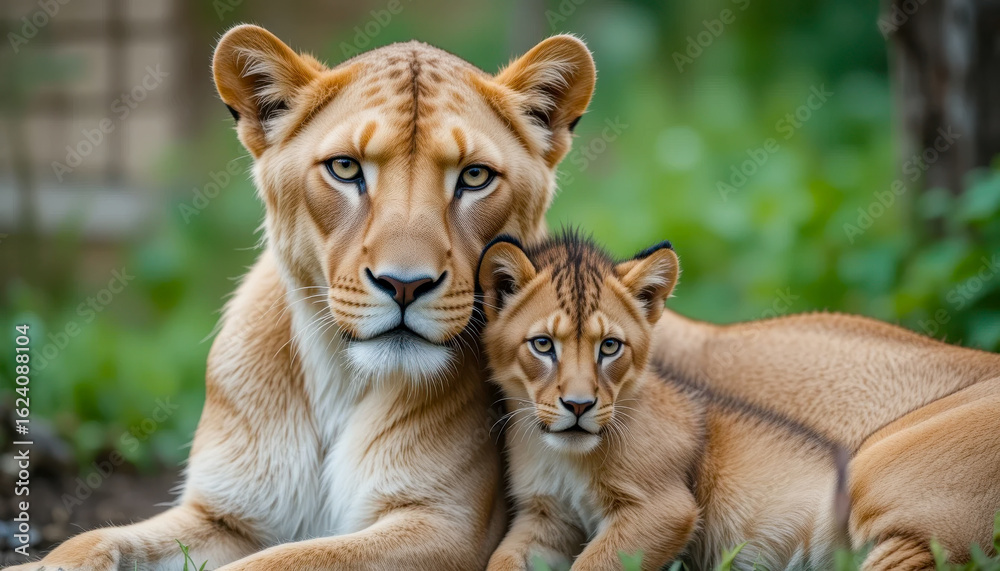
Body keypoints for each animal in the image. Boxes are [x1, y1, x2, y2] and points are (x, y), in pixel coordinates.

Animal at [5, 25, 595, 571]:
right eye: (346, 167)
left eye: (474, 177)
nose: (405, 285)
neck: (339, 379)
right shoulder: (223, 516)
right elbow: (92, 539)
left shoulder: (446, 528)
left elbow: (281, 560)